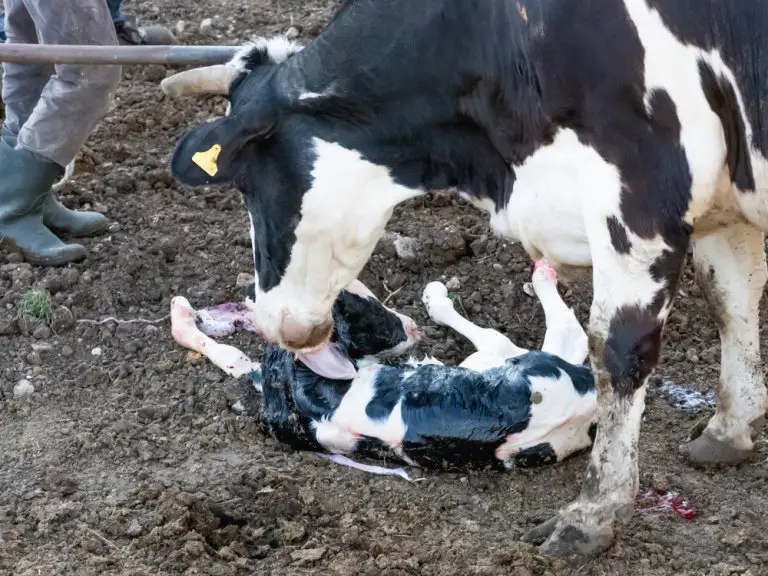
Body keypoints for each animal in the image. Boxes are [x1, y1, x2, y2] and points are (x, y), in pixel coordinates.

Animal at [170, 260, 598, 470]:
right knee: (560, 328)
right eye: (367, 312)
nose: (410, 328)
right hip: (521, 359)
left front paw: (183, 316)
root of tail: (588, 403)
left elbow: (231, 356)